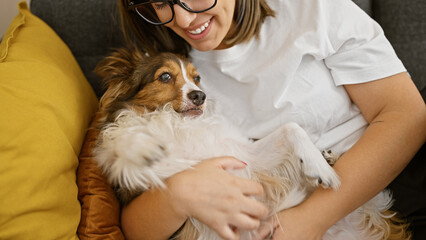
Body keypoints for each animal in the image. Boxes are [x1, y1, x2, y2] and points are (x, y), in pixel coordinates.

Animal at [92, 47, 410, 239]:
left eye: (197, 78)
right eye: (165, 76)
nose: (200, 96)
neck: (180, 124)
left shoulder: (245, 158)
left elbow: (291, 128)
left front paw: (319, 167)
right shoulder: (140, 183)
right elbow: (122, 147)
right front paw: (142, 146)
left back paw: (328, 159)